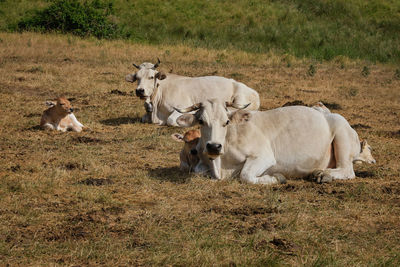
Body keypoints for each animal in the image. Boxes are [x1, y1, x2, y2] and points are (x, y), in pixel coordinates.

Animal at [126, 59, 260, 126]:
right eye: (137, 77)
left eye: (151, 77)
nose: (140, 91)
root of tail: (254, 92)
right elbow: (143, 118)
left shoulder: (182, 107)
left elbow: (171, 121)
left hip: (240, 99)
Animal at [175, 99, 376, 185]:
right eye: (201, 121)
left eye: (226, 121)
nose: (214, 146)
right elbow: (197, 170)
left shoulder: (264, 156)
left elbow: (245, 175)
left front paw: (276, 178)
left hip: (341, 135)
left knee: (347, 171)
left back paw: (322, 174)